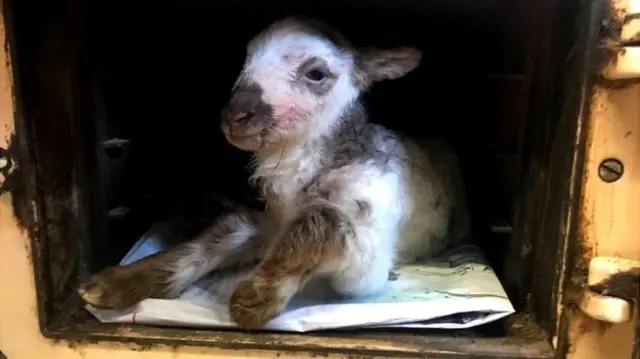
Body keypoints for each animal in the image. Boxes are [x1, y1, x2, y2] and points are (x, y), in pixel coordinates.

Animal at [79, 17, 470, 332]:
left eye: (316, 74)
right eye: (246, 59)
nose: (235, 115)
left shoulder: (366, 254)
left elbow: (319, 222)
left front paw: (255, 299)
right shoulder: (271, 222)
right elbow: (221, 235)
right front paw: (116, 284)